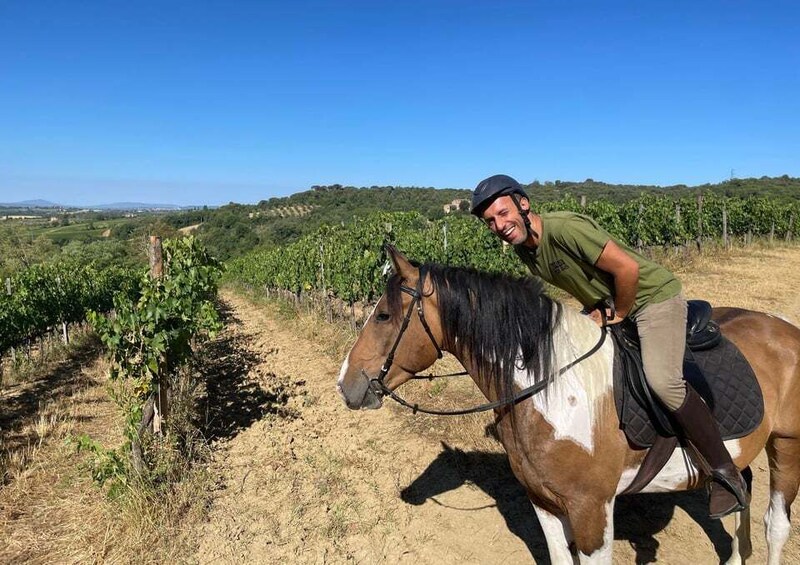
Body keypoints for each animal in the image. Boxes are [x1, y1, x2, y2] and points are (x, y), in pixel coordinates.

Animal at [336, 249, 800, 560]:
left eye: (382, 315)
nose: (346, 384)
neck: (550, 389)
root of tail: (784, 328)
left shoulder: (592, 512)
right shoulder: (544, 503)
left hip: (786, 444)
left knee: (775, 525)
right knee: (742, 495)